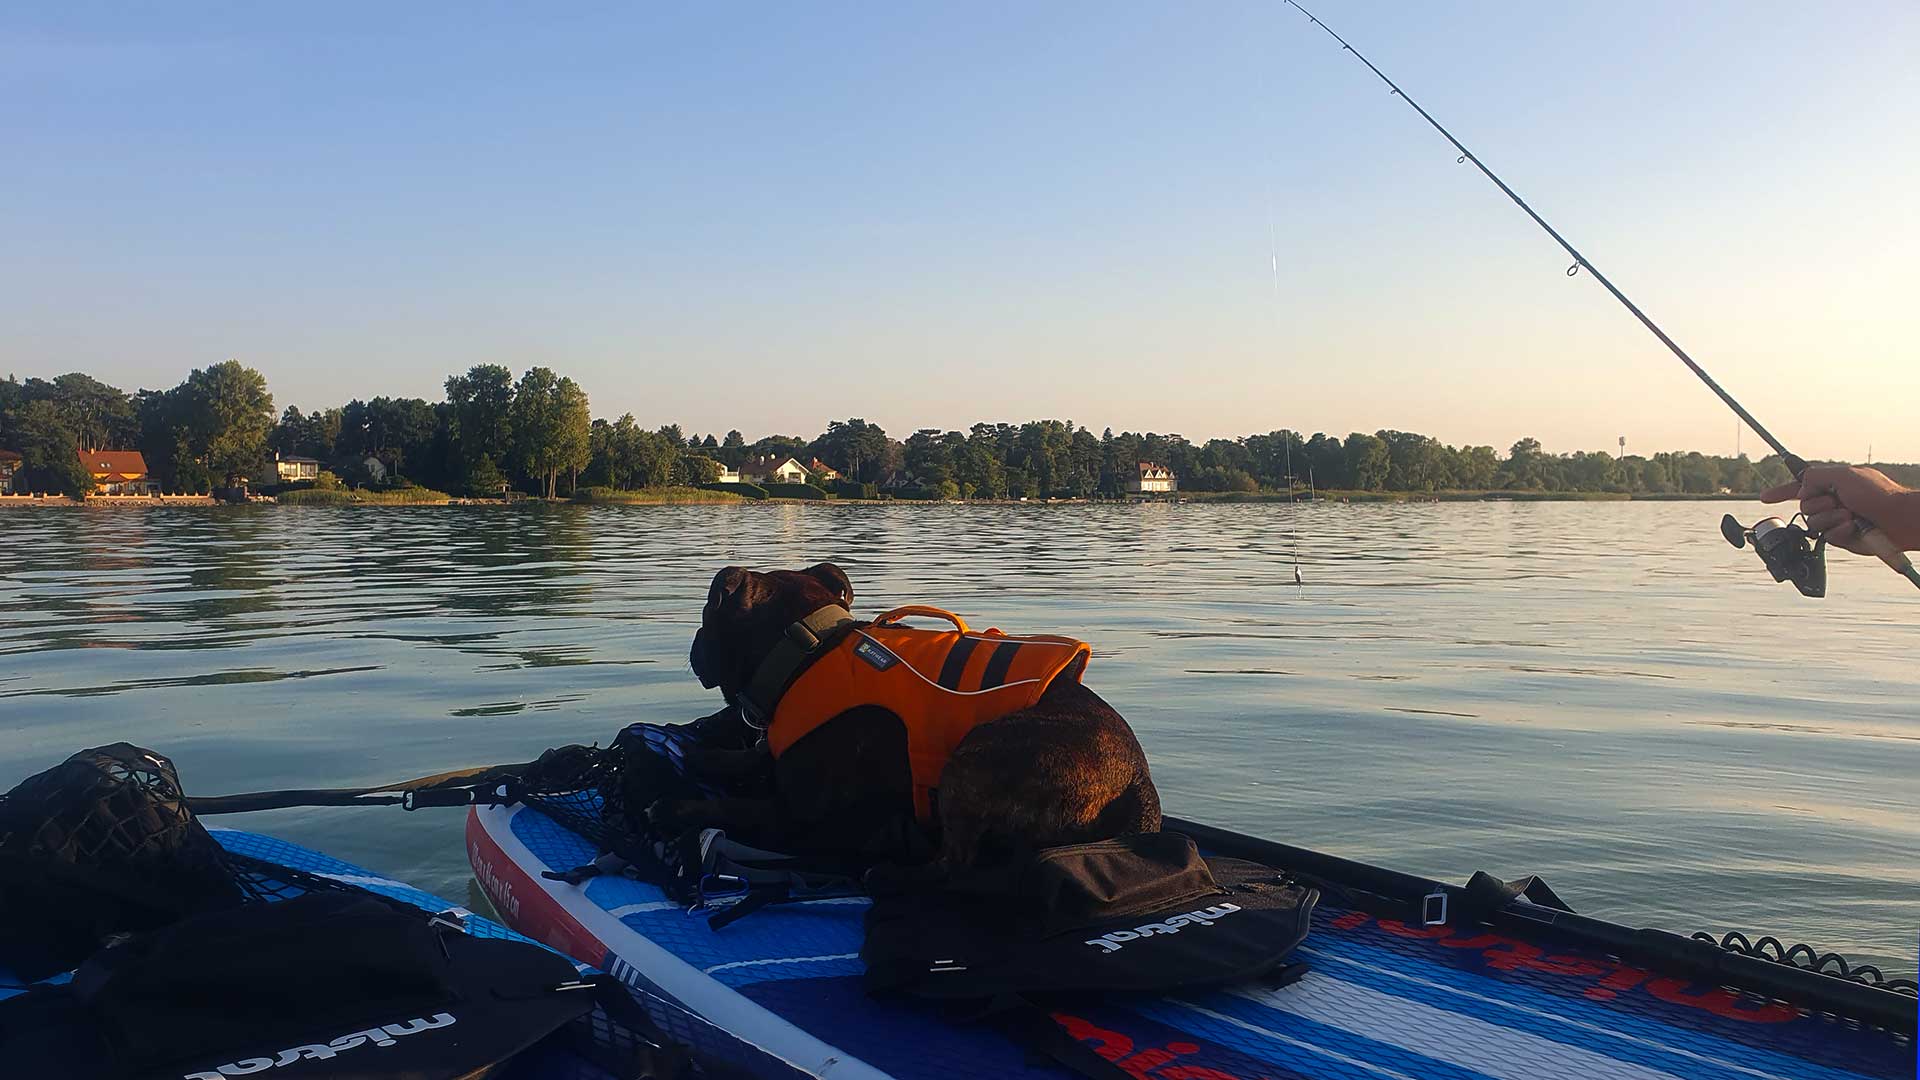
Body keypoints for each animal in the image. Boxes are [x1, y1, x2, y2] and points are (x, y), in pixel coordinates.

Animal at [660, 557, 1159, 868]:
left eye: (705, 615)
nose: (694, 645)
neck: (806, 647)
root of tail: (1138, 780)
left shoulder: (795, 813)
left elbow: (734, 806)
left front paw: (677, 808)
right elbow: (757, 754)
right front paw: (712, 757)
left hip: (974, 759)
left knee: (955, 864)